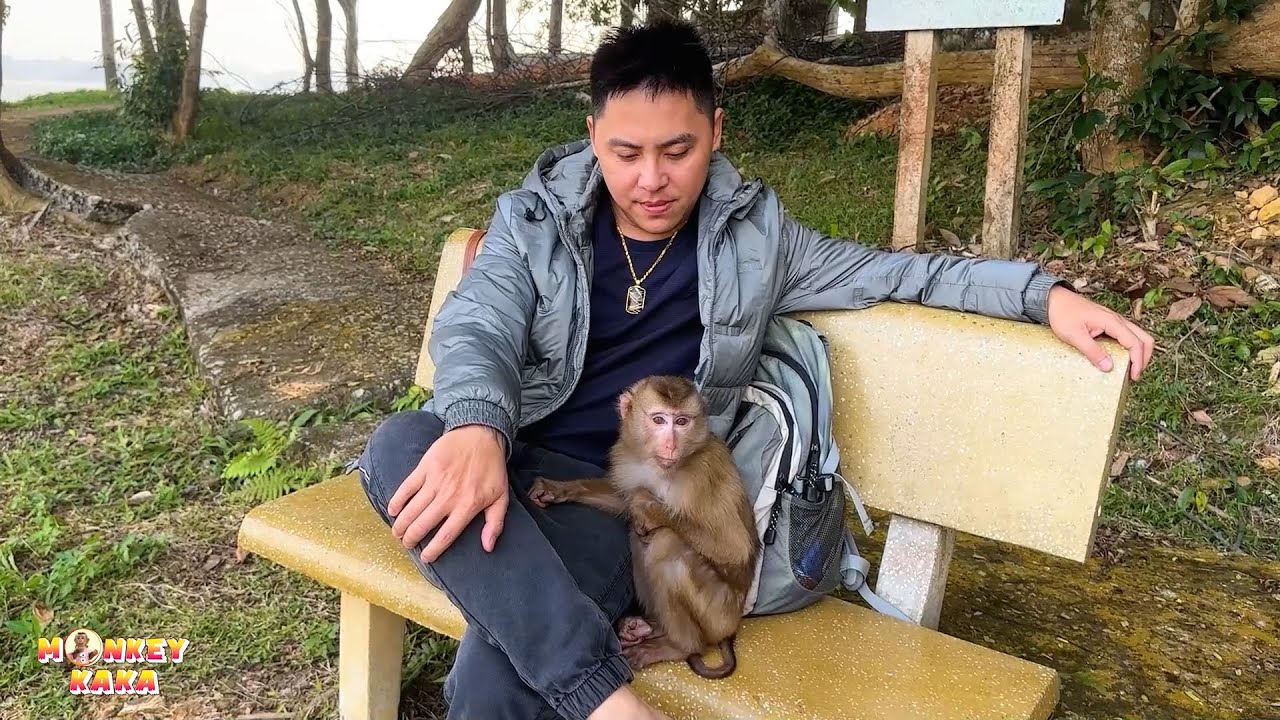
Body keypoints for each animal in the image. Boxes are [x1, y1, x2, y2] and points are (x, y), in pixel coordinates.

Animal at [528, 375, 760, 680]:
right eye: (659, 420)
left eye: (682, 422)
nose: (671, 445)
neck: (663, 469)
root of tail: (731, 628)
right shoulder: (627, 458)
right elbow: (621, 498)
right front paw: (557, 489)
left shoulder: (704, 474)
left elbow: (732, 547)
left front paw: (648, 507)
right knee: (640, 544)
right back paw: (650, 627)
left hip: (717, 614)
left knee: (666, 546)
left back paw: (680, 645)